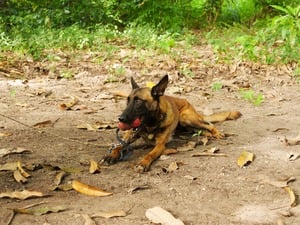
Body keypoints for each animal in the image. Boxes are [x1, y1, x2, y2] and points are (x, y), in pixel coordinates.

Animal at [103, 75, 241, 172]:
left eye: (138, 101)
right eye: (128, 101)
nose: (120, 119)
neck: (150, 125)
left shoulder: (160, 146)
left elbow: (149, 154)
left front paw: (143, 163)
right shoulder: (129, 137)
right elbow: (118, 146)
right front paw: (111, 155)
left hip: (186, 118)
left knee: (209, 125)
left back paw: (216, 133)